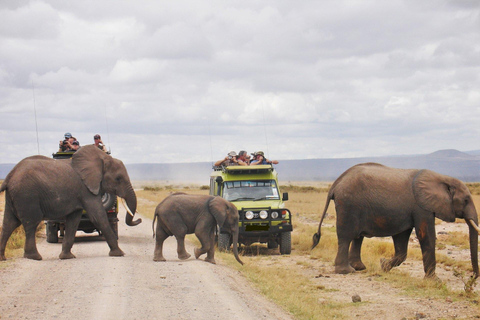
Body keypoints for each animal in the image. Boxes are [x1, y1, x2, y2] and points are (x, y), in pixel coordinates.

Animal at [0, 145, 142, 260]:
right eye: (118, 178)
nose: (139, 220)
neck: (102, 159)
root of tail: (9, 176)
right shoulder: (86, 190)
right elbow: (99, 217)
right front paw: (119, 253)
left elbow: (73, 221)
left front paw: (67, 257)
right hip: (27, 195)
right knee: (31, 223)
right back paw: (34, 257)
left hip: (15, 196)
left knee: (9, 223)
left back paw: (3, 258)